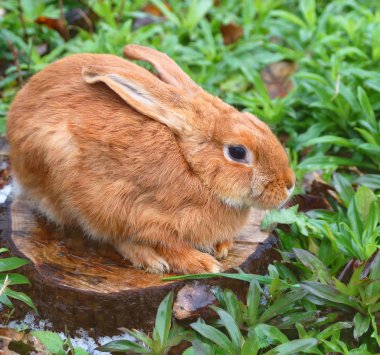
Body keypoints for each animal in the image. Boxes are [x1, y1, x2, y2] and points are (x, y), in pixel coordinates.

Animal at [7, 45, 296, 276]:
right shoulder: (138, 215)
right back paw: (150, 260)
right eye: (237, 152)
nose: (289, 184)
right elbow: (165, 243)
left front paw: (222, 247)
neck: (193, 169)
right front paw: (200, 263)